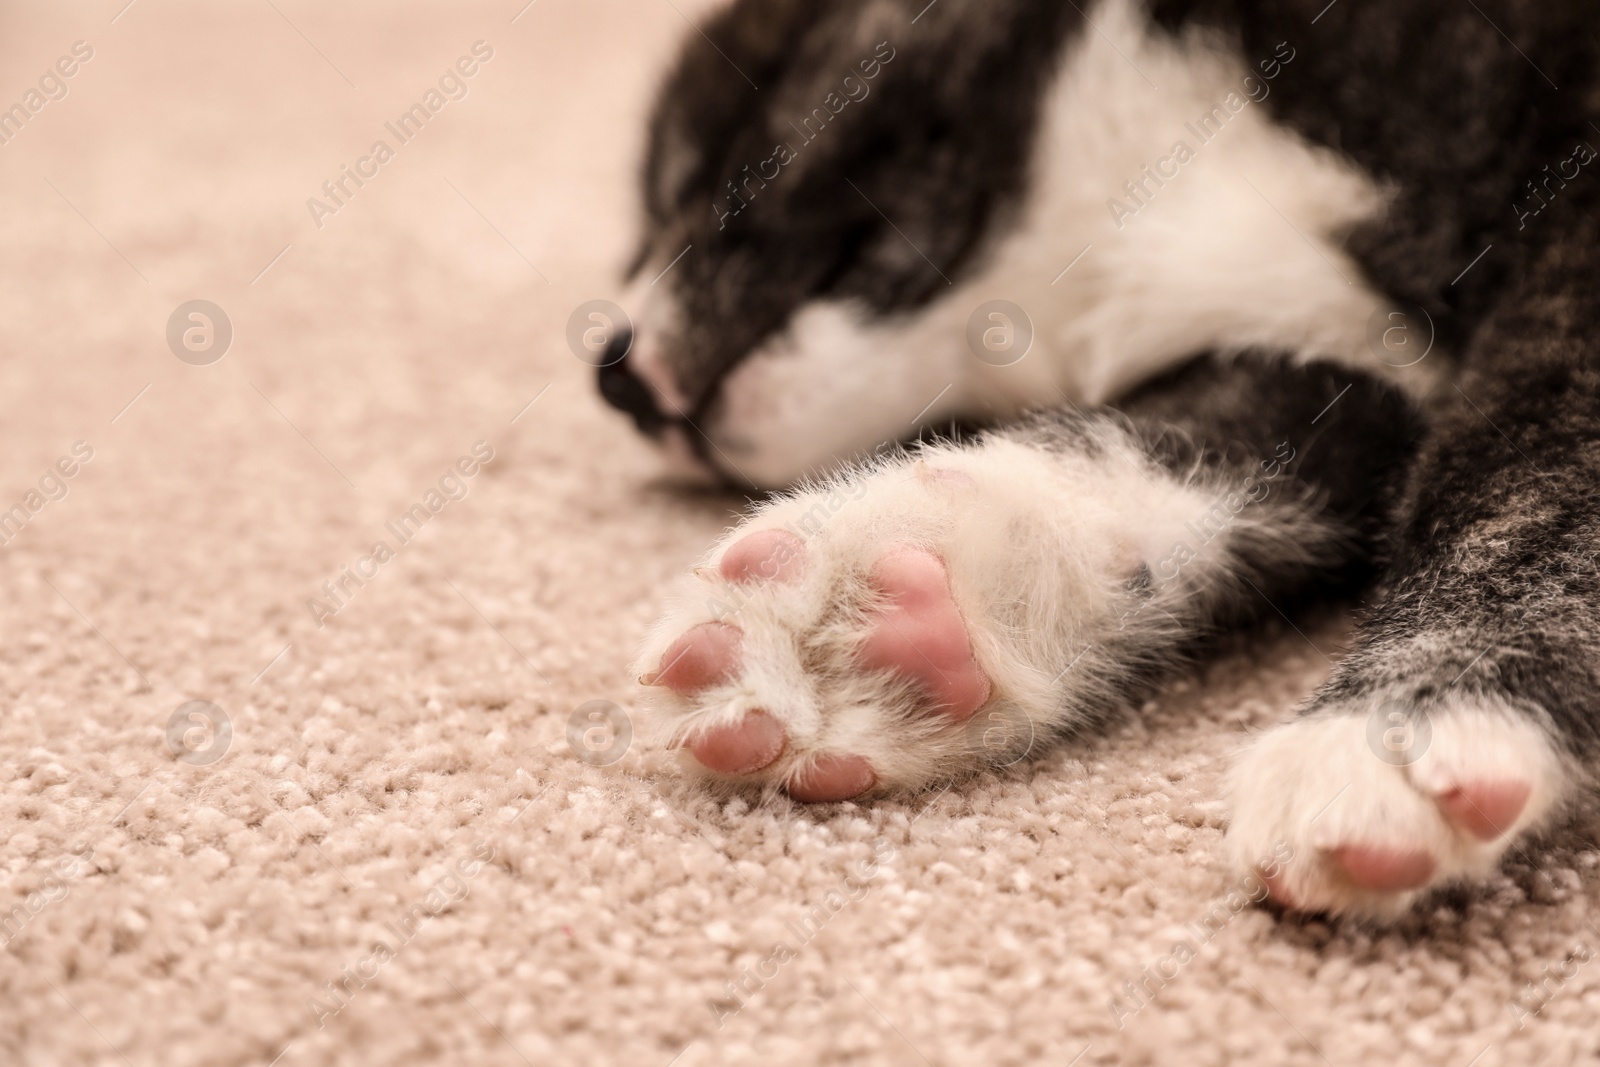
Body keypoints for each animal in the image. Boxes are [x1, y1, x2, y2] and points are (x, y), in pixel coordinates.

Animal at [598, 0, 1600, 921]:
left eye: (699, 159)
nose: (614, 378)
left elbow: (1534, 474)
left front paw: (1414, 715)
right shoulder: (1336, 375)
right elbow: (1210, 440)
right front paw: (894, 608)